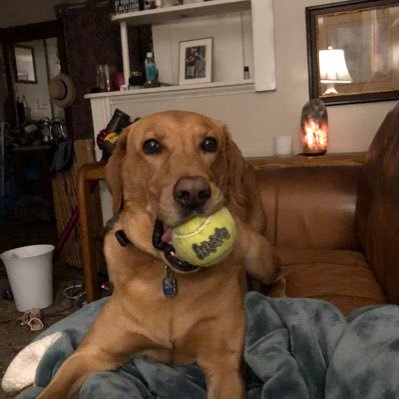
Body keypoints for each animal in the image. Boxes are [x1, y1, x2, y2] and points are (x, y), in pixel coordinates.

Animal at [36, 111, 282, 399]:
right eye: (151, 146)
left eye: (209, 143)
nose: (193, 192)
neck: (169, 276)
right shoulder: (90, 354)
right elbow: (51, 390)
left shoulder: (223, 366)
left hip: (258, 256)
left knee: (279, 276)